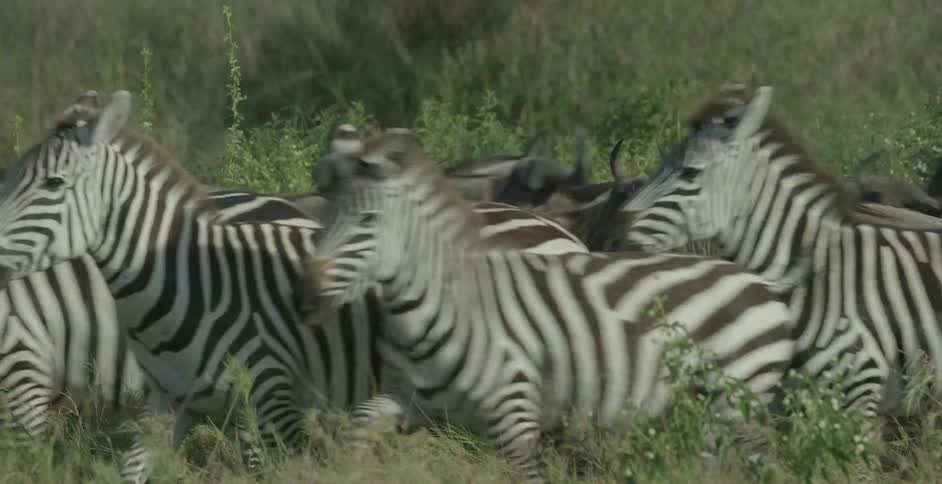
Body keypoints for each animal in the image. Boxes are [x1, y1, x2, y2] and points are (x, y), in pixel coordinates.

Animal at [0, 90, 590, 483]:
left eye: (52, 183)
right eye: (13, 175)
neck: (189, 280)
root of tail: (566, 232)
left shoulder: (271, 403)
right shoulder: (170, 404)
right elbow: (132, 467)